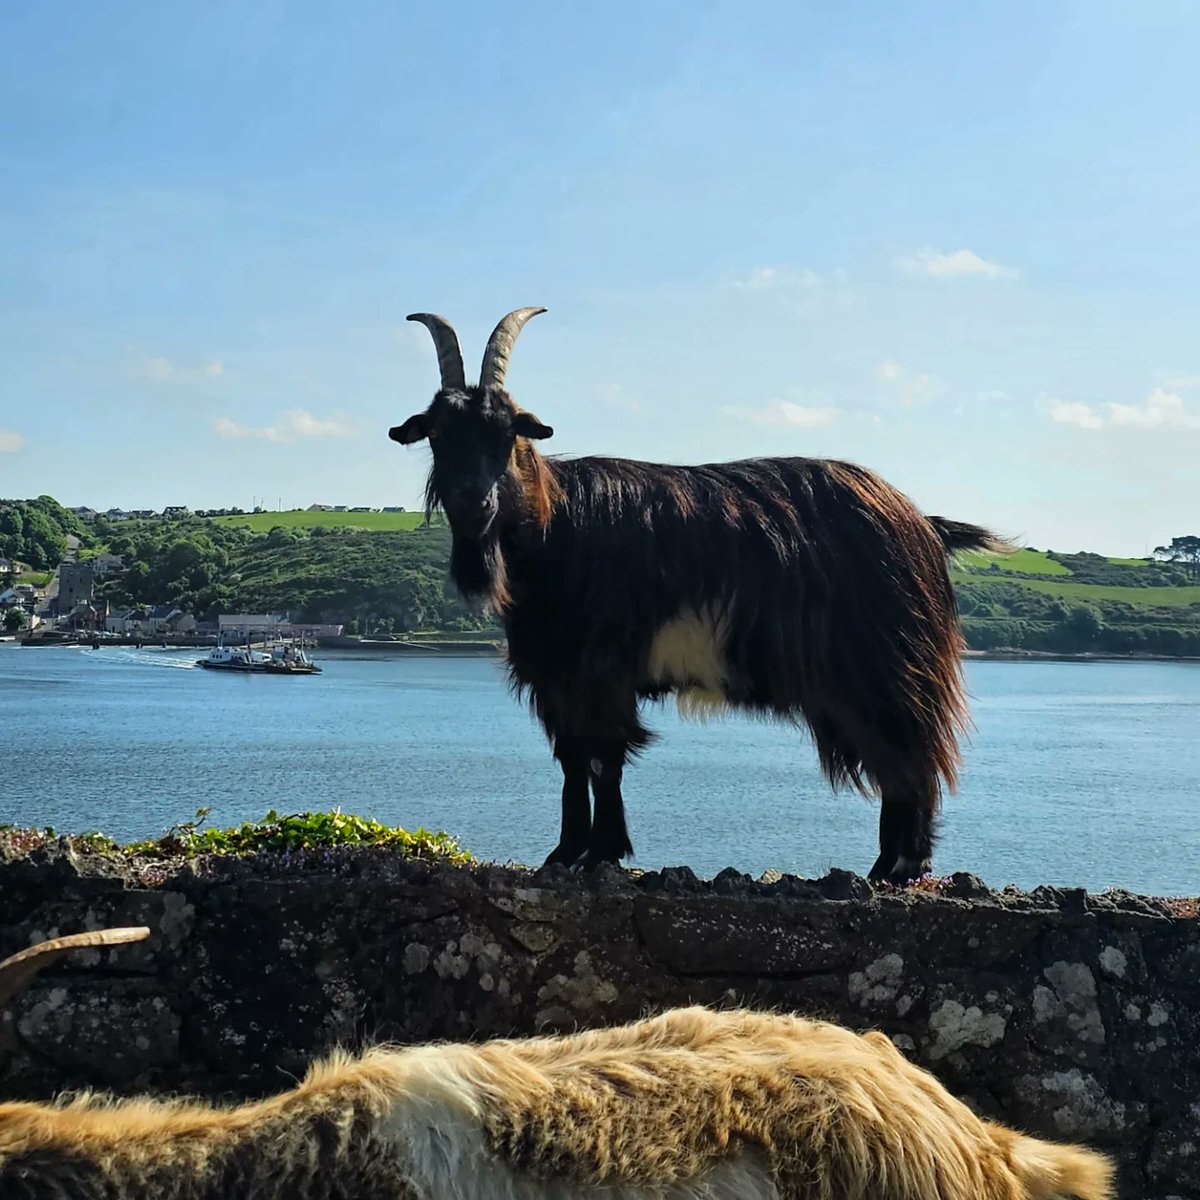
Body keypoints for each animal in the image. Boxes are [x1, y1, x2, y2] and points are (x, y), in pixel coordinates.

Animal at [393, 309, 1003, 883]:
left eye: (507, 433)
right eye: (438, 434)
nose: (475, 503)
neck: (557, 526)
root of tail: (925, 524)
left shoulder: (601, 672)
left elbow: (604, 759)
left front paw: (601, 852)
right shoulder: (558, 677)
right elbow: (573, 760)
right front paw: (565, 853)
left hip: (888, 667)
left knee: (912, 755)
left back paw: (904, 865)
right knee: (897, 758)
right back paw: (885, 865)